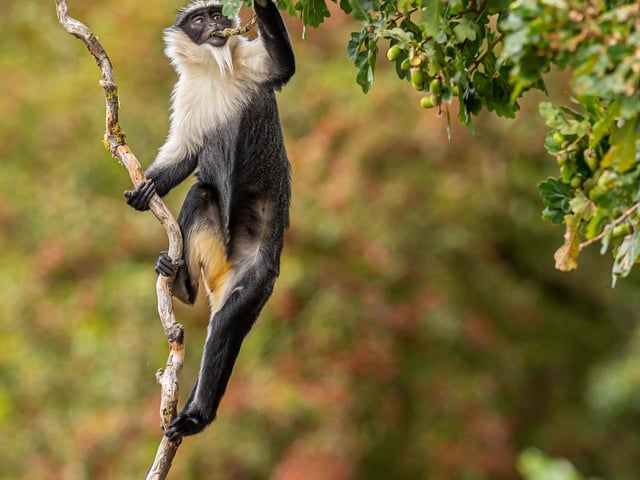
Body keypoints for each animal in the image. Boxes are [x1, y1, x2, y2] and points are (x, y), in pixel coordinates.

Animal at [124, 0, 295, 441]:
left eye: (218, 14)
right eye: (199, 20)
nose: (217, 23)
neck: (215, 71)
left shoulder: (255, 66)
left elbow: (284, 66)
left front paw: (262, 4)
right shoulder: (187, 93)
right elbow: (186, 153)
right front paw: (147, 189)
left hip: (257, 276)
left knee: (226, 325)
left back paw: (197, 415)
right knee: (201, 192)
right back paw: (181, 283)